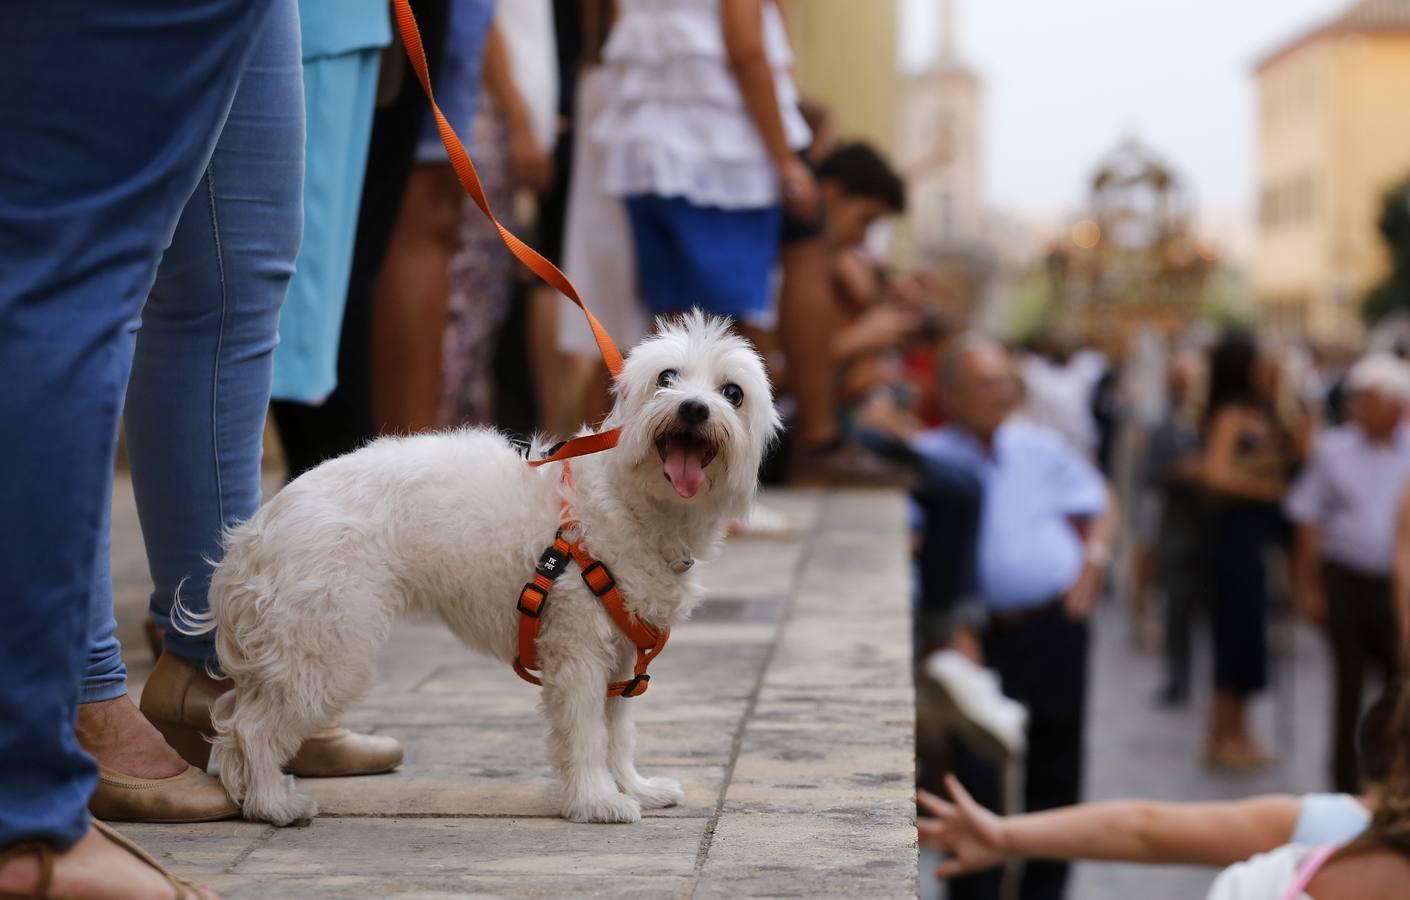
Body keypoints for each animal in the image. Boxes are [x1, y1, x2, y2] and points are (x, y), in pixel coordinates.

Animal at [186, 311, 778, 835]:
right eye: (666, 379)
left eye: (732, 394)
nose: (694, 409)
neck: (629, 505)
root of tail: (258, 529)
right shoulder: (578, 653)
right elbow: (587, 735)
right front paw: (597, 802)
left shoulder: (620, 659)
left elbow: (618, 735)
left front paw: (634, 788)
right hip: (325, 650)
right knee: (252, 728)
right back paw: (274, 805)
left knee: (237, 725)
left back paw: (250, 799)